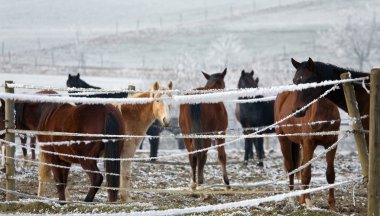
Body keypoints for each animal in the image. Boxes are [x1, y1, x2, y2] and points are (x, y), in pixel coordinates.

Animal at [180, 68, 230, 197]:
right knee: (201, 155)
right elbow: (222, 156)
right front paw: (227, 184)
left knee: (192, 156)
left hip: (187, 135)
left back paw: (194, 186)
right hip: (205, 136)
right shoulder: (220, 133)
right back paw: (201, 188)